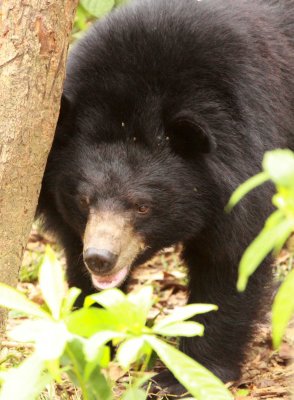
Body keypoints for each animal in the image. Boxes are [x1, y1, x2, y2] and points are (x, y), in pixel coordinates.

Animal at [38, 0, 292, 396]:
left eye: (143, 206)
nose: (101, 259)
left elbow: (229, 264)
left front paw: (182, 377)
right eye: (83, 201)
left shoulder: (247, 161)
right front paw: (92, 342)